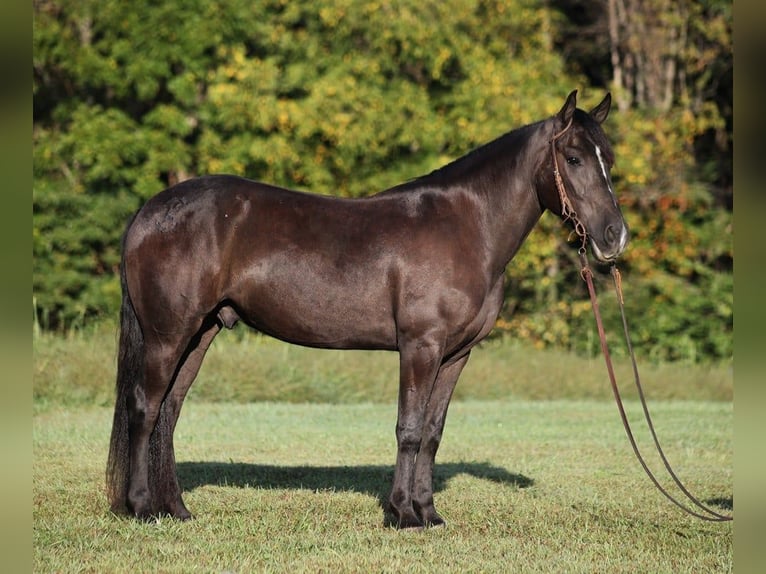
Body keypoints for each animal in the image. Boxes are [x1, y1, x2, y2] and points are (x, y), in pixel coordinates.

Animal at [106, 90, 628, 529]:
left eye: (609, 159)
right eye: (574, 158)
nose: (615, 236)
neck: (466, 227)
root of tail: (150, 212)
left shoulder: (456, 355)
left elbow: (433, 432)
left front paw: (428, 513)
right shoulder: (420, 346)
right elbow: (409, 429)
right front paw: (402, 514)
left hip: (200, 333)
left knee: (170, 409)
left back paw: (175, 509)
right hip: (168, 335)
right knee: (145, 406)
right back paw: (140, 507)